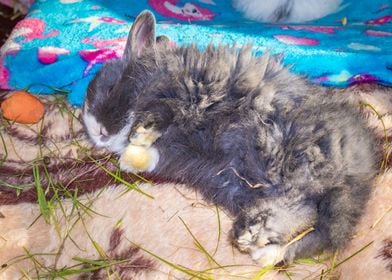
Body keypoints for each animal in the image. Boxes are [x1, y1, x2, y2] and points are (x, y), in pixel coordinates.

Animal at [82, 10, 380, 266]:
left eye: (109, 88)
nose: (97, 132)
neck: (154, 75)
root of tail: (360, 174)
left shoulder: (184, 92)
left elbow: (162, 112)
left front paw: (140, 133)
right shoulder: (175, 156)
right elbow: (152, 156)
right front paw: (131, 157)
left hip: (299, 162)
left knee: (305, 213)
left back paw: (253, 235)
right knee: (307, 220)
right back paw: (260, 245)